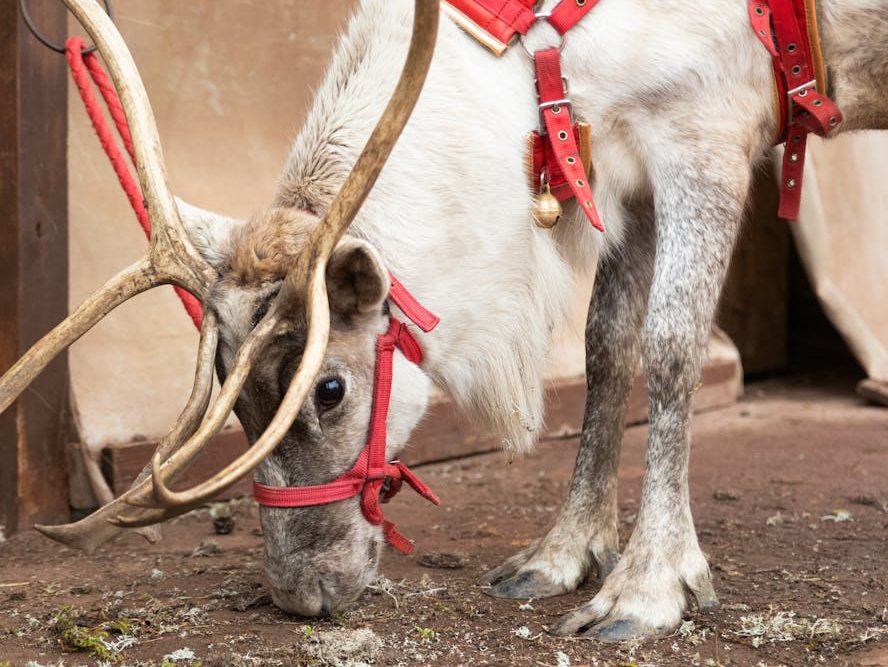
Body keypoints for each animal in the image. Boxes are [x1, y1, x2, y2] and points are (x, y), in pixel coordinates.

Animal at [2, 0, 887, 642]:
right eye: (232, 390)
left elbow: (670, 351)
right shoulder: (622, 177)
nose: (301, 593)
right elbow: (606, 350)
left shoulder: (706, 136)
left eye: (329, 388)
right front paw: (562, 552)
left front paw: (647, 585)